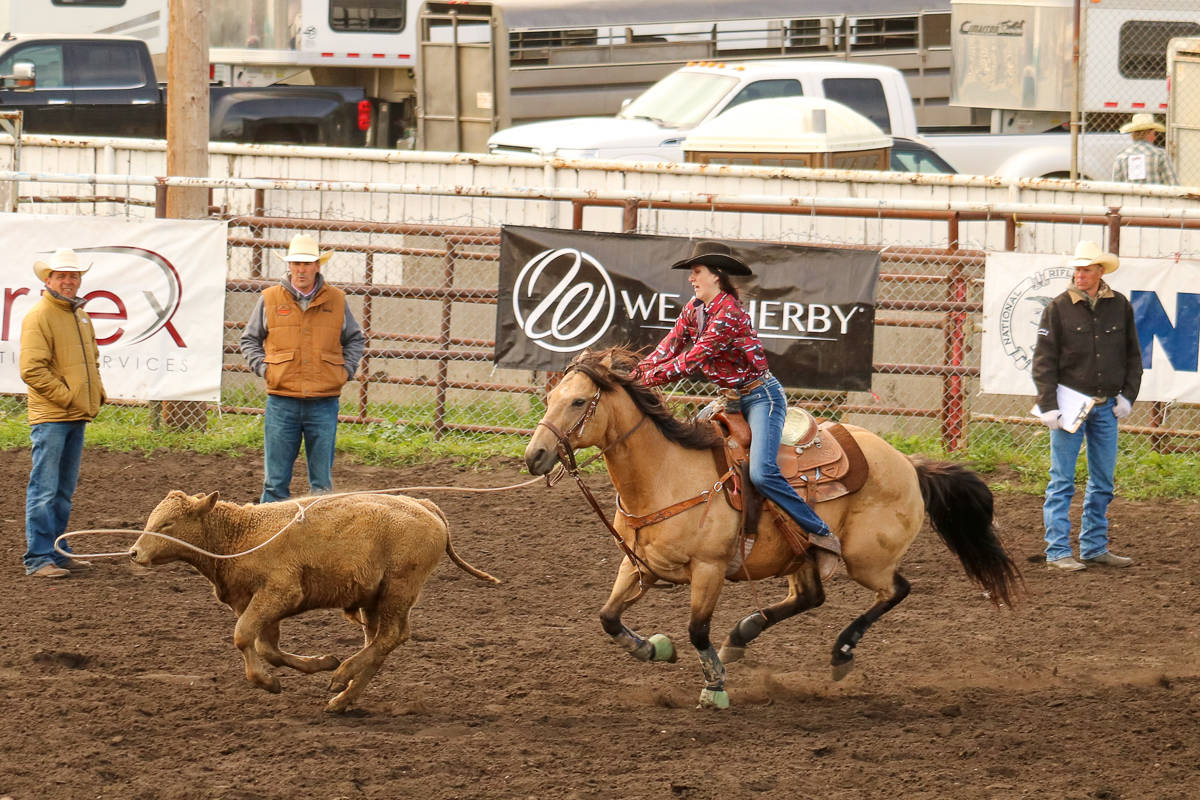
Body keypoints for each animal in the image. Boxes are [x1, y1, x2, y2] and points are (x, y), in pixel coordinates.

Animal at [525, 347, 1022, 710]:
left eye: (578, 401)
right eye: (550, 399)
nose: (535, 456)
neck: (668, 475)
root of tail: (908, 463)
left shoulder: (709, 568)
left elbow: (697, 630)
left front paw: (715, 687)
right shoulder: (638, 566)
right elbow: (608, 618)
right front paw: (654, 650)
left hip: (866, 558)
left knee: (896, 590)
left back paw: (840, 652)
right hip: (800, 554)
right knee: (811, 596)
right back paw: (741, 637)